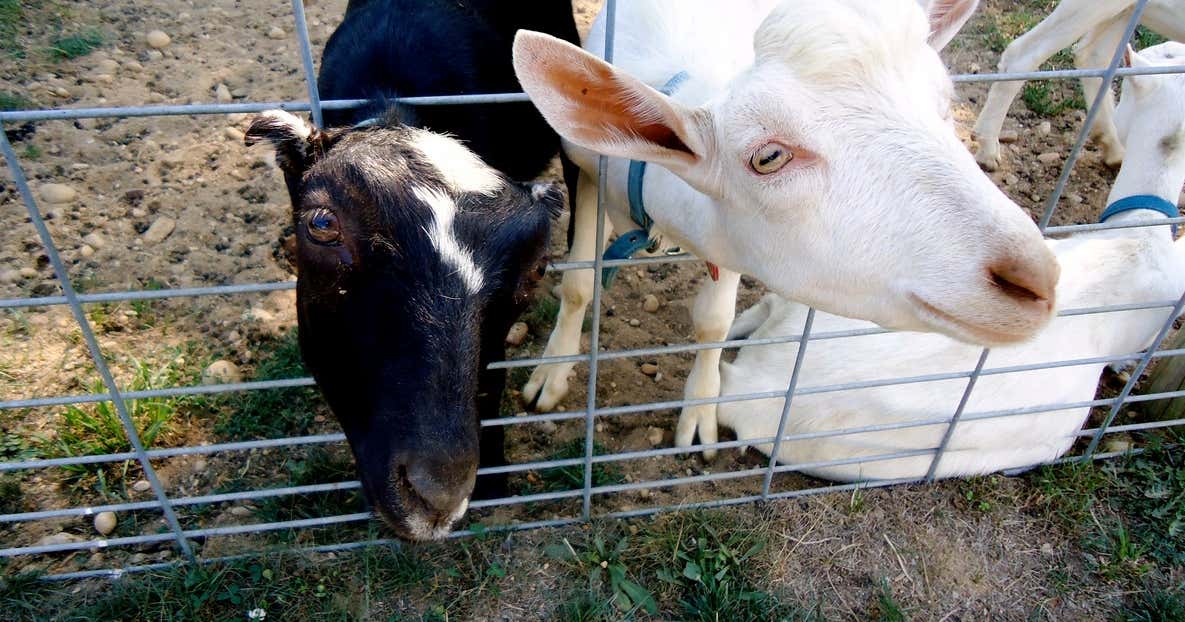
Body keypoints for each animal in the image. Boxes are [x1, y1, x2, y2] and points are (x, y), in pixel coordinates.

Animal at [512, 0, 1060, 459]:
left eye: (946, 105)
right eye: (769, 157)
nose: (1036, 280)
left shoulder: (731, 239)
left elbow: (714, 321)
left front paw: (700, 414)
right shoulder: (585, 168)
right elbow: (579, 284)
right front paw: (550, 375)